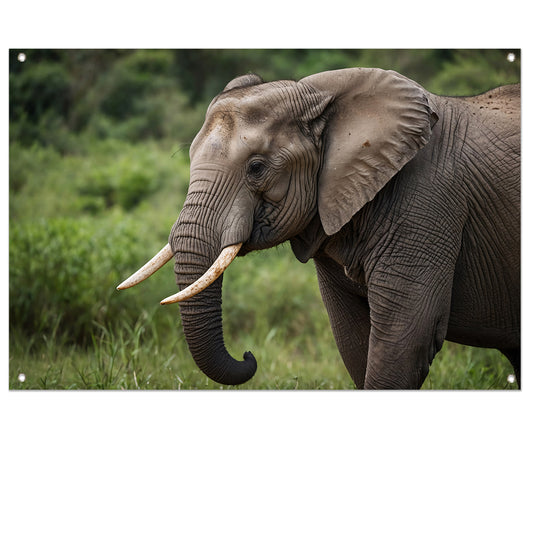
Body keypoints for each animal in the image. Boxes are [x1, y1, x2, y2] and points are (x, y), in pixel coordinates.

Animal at [117, 68, 520, 388]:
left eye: (257, 168)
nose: (249, 355)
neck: (322, 100)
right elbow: (353, 339)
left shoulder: (427, 203)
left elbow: (407, 335)